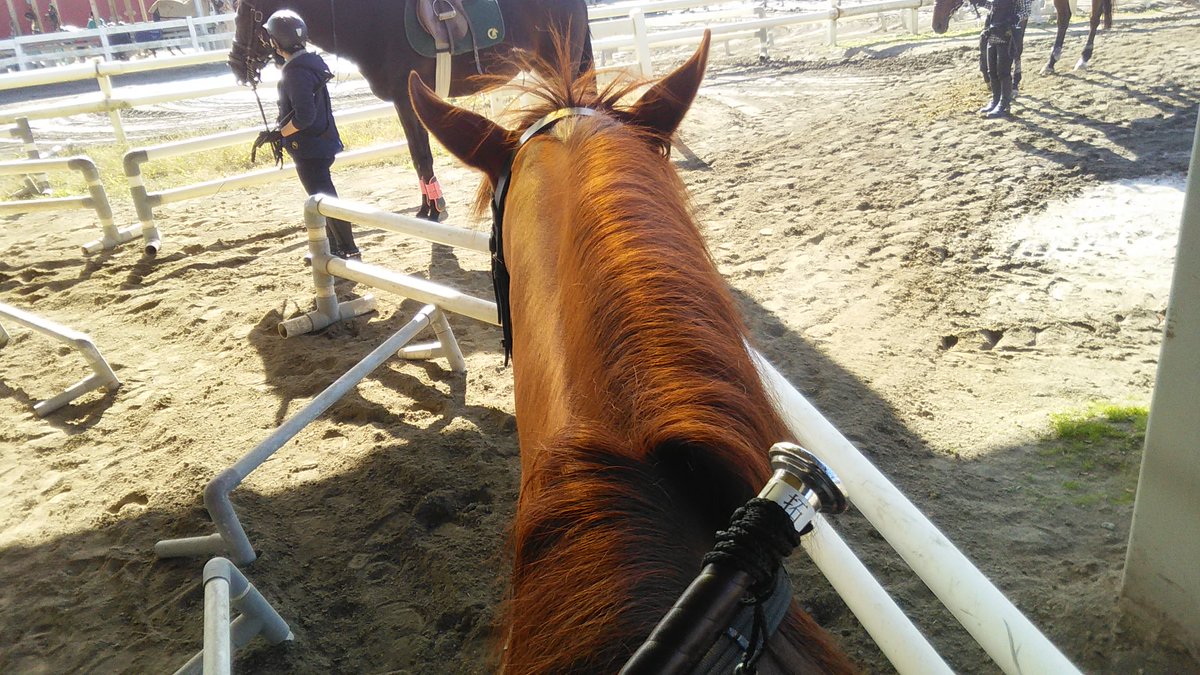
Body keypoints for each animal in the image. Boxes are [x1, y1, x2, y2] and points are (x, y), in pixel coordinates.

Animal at [227, 0, 593, 221]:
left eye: (247, 12)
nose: (235, 65)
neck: (371, 23)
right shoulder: (404, 104)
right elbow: (418, 157)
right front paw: (426, 207)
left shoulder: (407, 99)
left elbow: (422, 155)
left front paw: (435, 209)